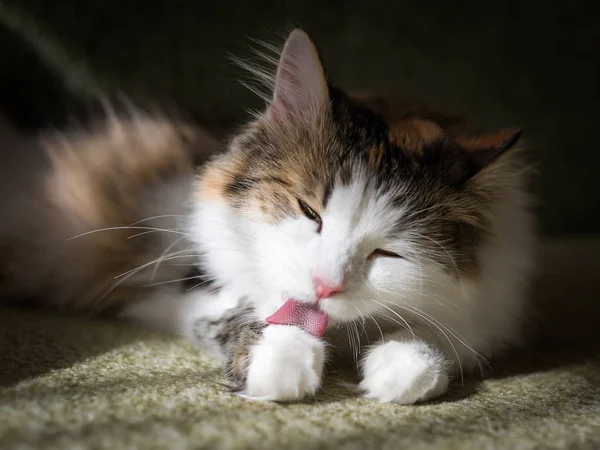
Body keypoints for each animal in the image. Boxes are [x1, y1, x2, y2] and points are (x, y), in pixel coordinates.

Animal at [0, 29, 536, 404]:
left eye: (388, 252)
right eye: (309, 211)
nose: (325, 286)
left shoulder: (486, 298)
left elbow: (434, 339)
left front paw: (402, 368)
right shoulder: (174, 278)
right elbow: (248, 307)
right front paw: (283, 362)